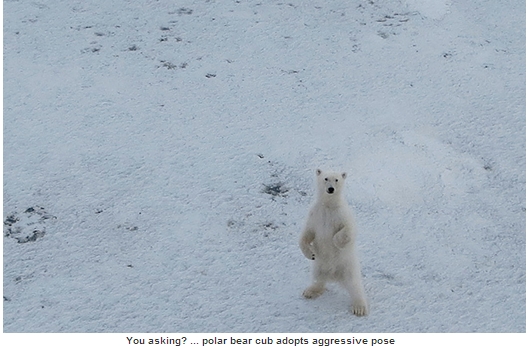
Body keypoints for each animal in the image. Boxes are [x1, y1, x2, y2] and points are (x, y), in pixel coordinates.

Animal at [300, 170, 370, 316]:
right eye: (326, 178)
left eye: (337, 179)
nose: (330, 189)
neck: (328, 206)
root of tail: (334, 276)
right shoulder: (315, 214)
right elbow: (307, 233)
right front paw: (311, 253)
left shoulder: (341, 214)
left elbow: (348, 230)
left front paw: (336, 242)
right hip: (319, 266)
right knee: (318, 278)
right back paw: (310, 291)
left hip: (348, 266)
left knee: (355, 285)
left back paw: (359, 307)